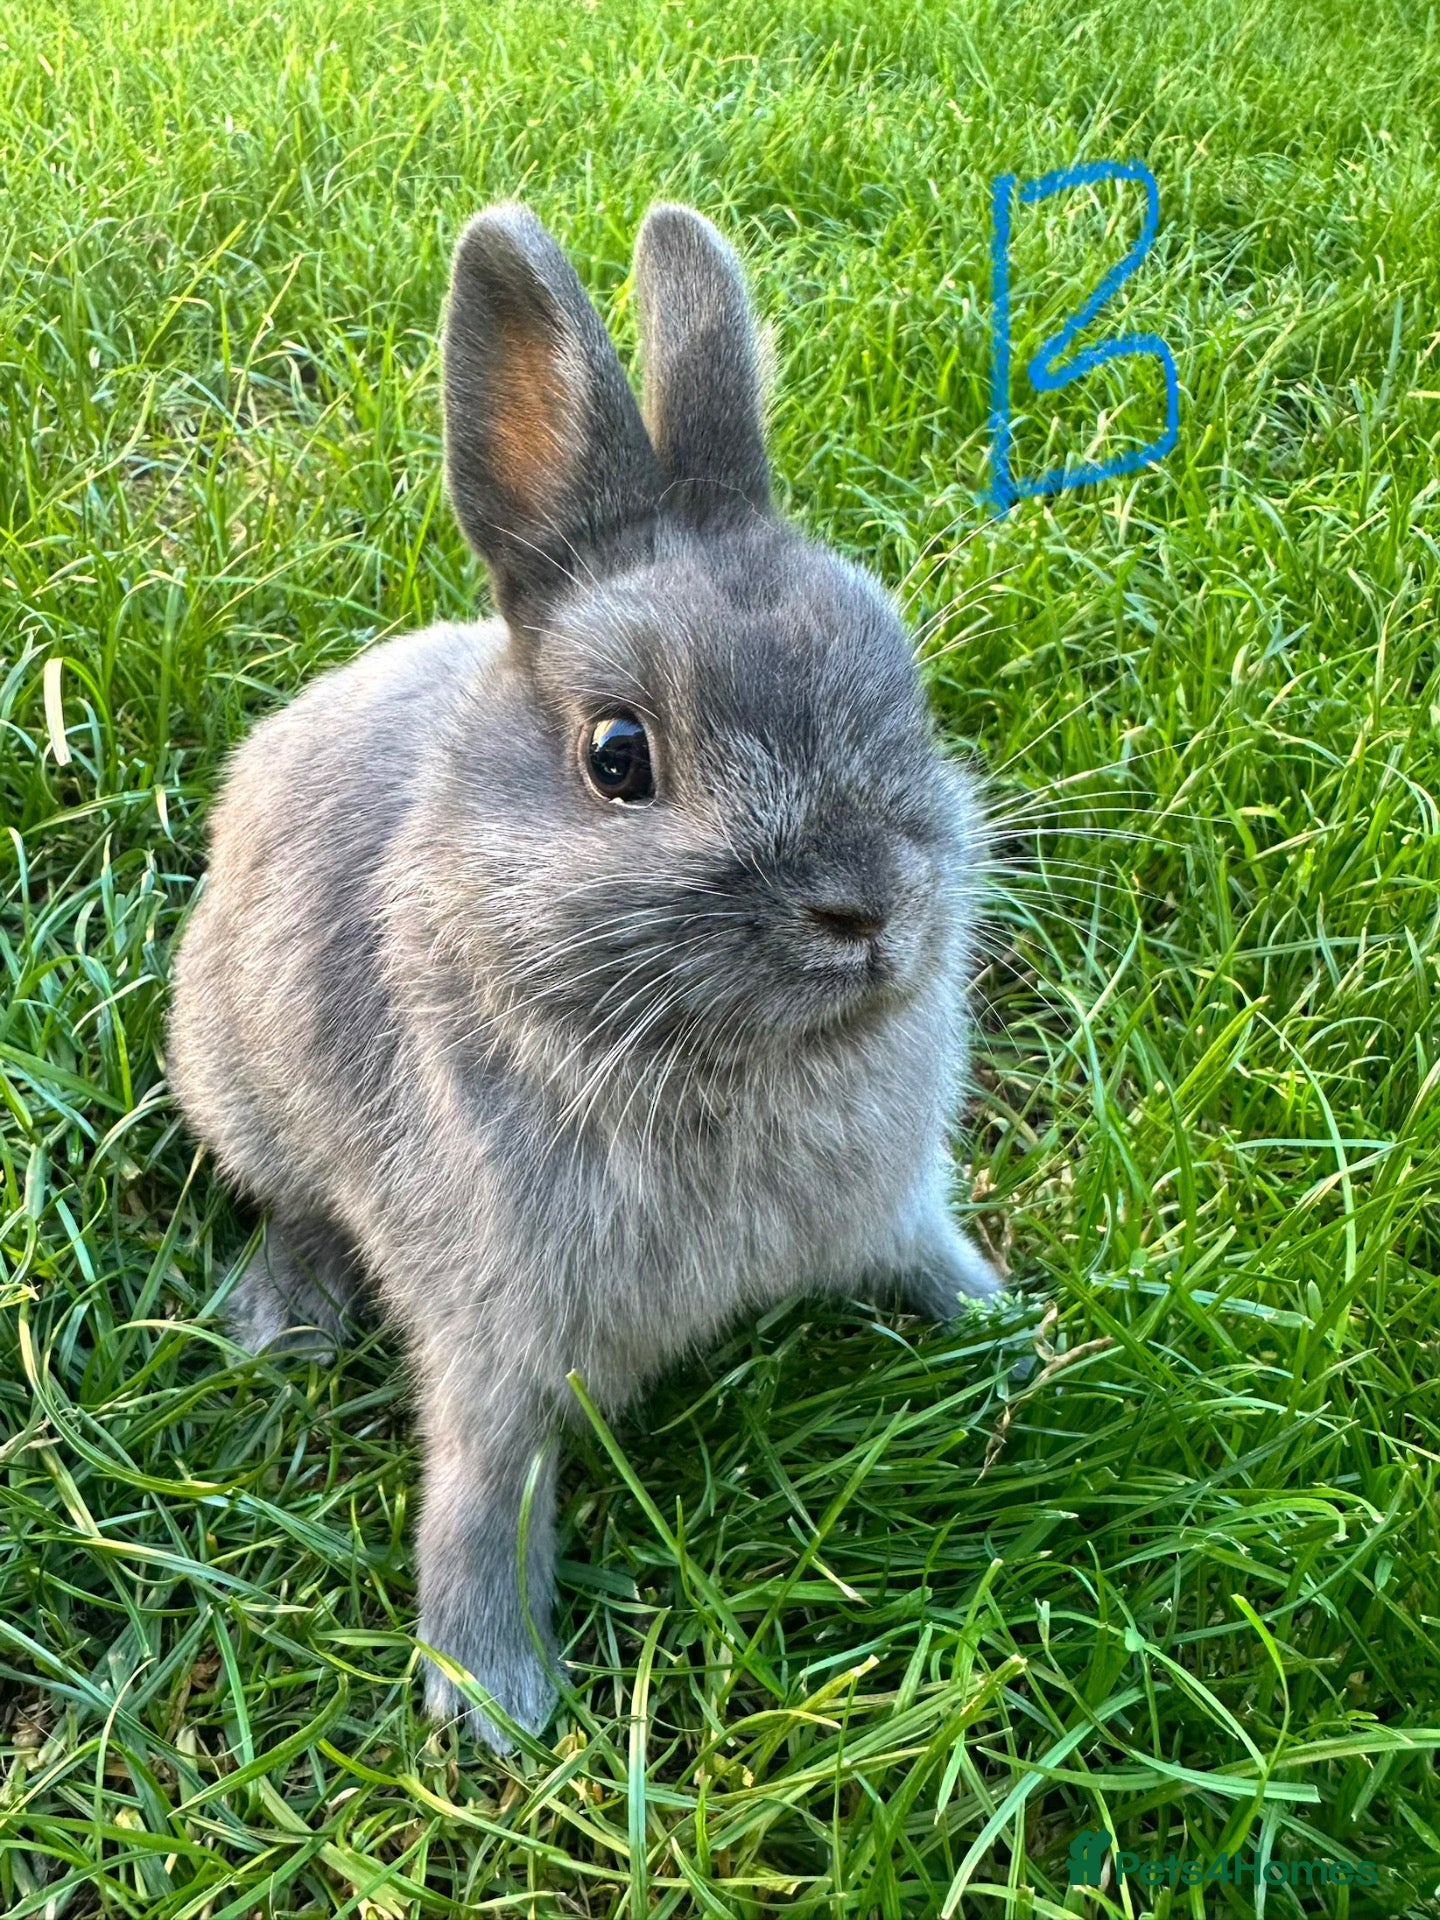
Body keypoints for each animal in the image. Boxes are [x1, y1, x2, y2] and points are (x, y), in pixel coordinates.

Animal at [166, 200, 1003, 1753]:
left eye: (904, 684)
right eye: (620, 757)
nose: (870, 907)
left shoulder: (898, 1203)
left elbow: (935, 1260)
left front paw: (1022, 1335)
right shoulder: (497, 1331)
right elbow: (481, 1492)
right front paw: (490, 1701)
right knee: (291, 1199)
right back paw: (283, 1322)